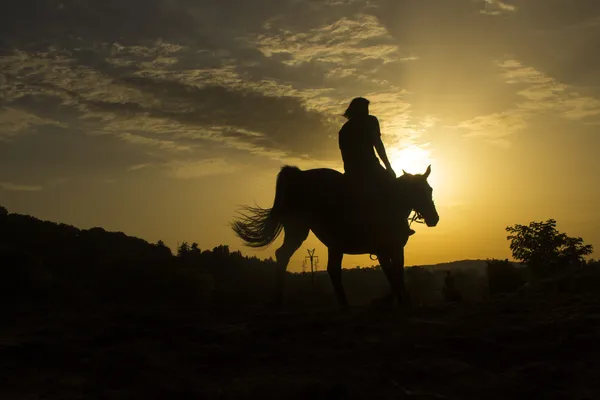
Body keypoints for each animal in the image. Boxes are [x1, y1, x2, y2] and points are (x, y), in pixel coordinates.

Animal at [229, 165, 436, 306]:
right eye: (417, 191)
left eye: (430, 190)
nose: (434, 218)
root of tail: (298, 175)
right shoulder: (387, 248)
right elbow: (395, 273)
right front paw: (398, 300)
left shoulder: (388, 249)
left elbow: (394, 273)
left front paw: (395, 299)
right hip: (301, 230)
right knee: (290, 256)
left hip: (320, 237)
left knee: (308, 262)